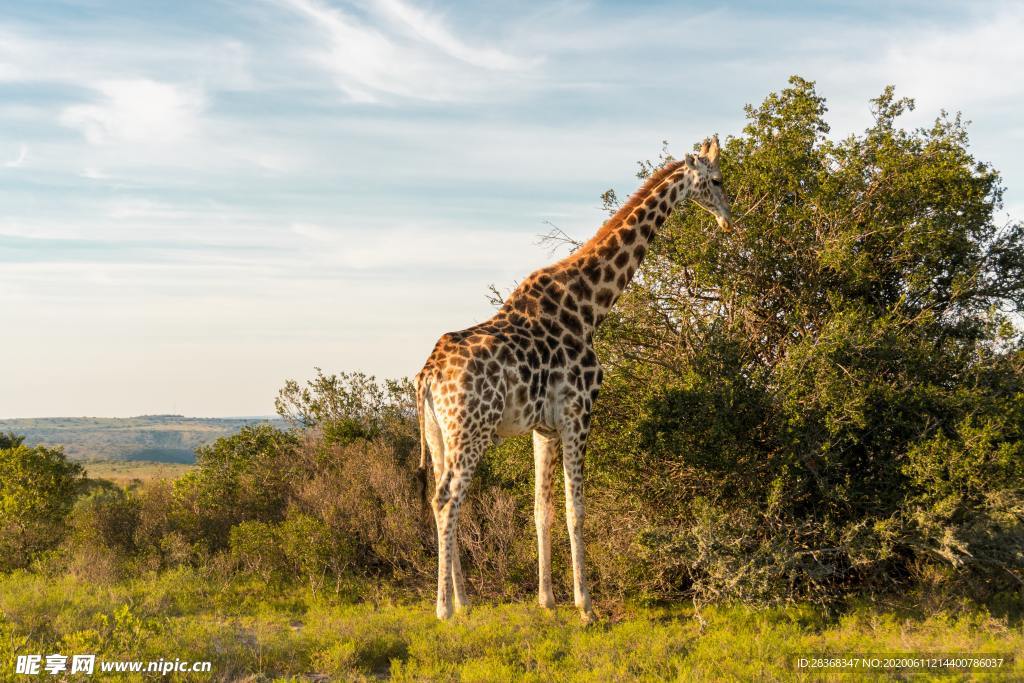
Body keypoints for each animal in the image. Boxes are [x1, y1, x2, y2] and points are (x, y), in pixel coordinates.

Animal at [413, 136, 729, 622]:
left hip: (439, 434)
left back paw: (464, 600)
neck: (588, 306)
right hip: (472, 427)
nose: (729, 219)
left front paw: (547, 600)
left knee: (438, 499)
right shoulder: (578, 413)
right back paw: (444, 609)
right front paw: (586, 606)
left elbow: (541, 509)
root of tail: (427, 376)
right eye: (714, 180)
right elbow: (576, 508)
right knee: (448, 498)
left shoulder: (543, 427)